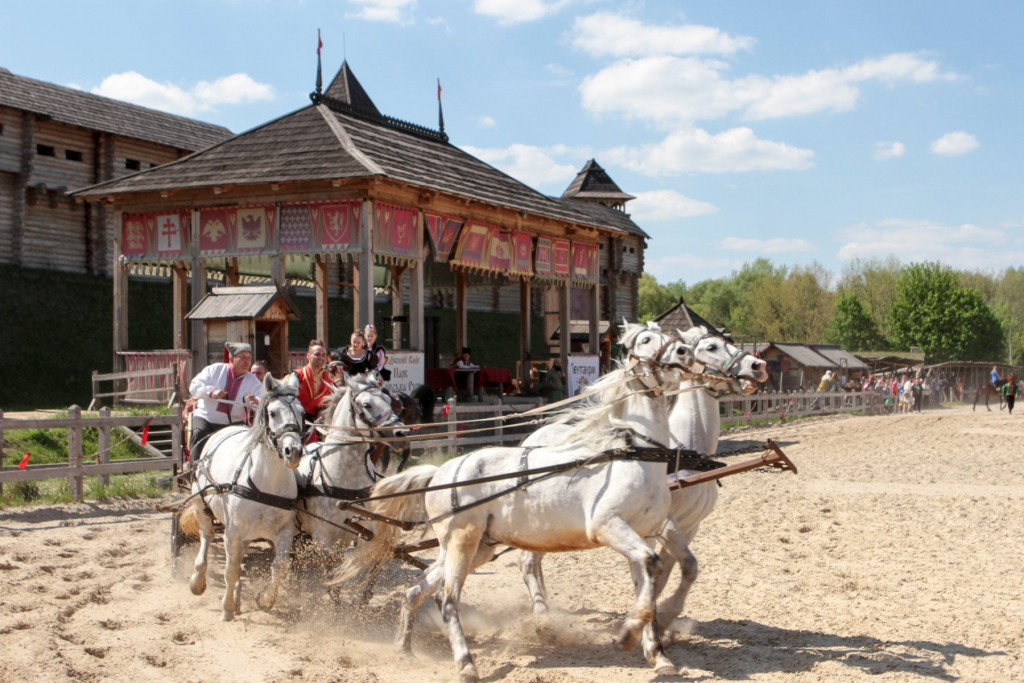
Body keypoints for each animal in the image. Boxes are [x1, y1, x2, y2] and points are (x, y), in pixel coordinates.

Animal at [186, 370, 303, 622]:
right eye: (273, 413)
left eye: (302, 413)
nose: (294, 452)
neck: (267, 484)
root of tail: (225, 429)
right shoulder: (232, 532)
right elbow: (230, 570)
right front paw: (227, 608)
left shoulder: (284, 532)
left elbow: (279, 568)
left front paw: (265, 599)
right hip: (201, 507)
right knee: (206, 536)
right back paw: (198, 580)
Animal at [344, 329, 696, 679]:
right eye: (647, 338)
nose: (684, 352)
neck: (636, 454)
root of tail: (439, 473)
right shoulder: (609, 527)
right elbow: (654, 565)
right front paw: (628, 634)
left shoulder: (644, 534)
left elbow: (648, 585)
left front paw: (657, 655)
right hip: (462, 542)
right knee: (446, 598)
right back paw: (466, 663)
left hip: (475, 548)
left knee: (416, 589)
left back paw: (404, 647)